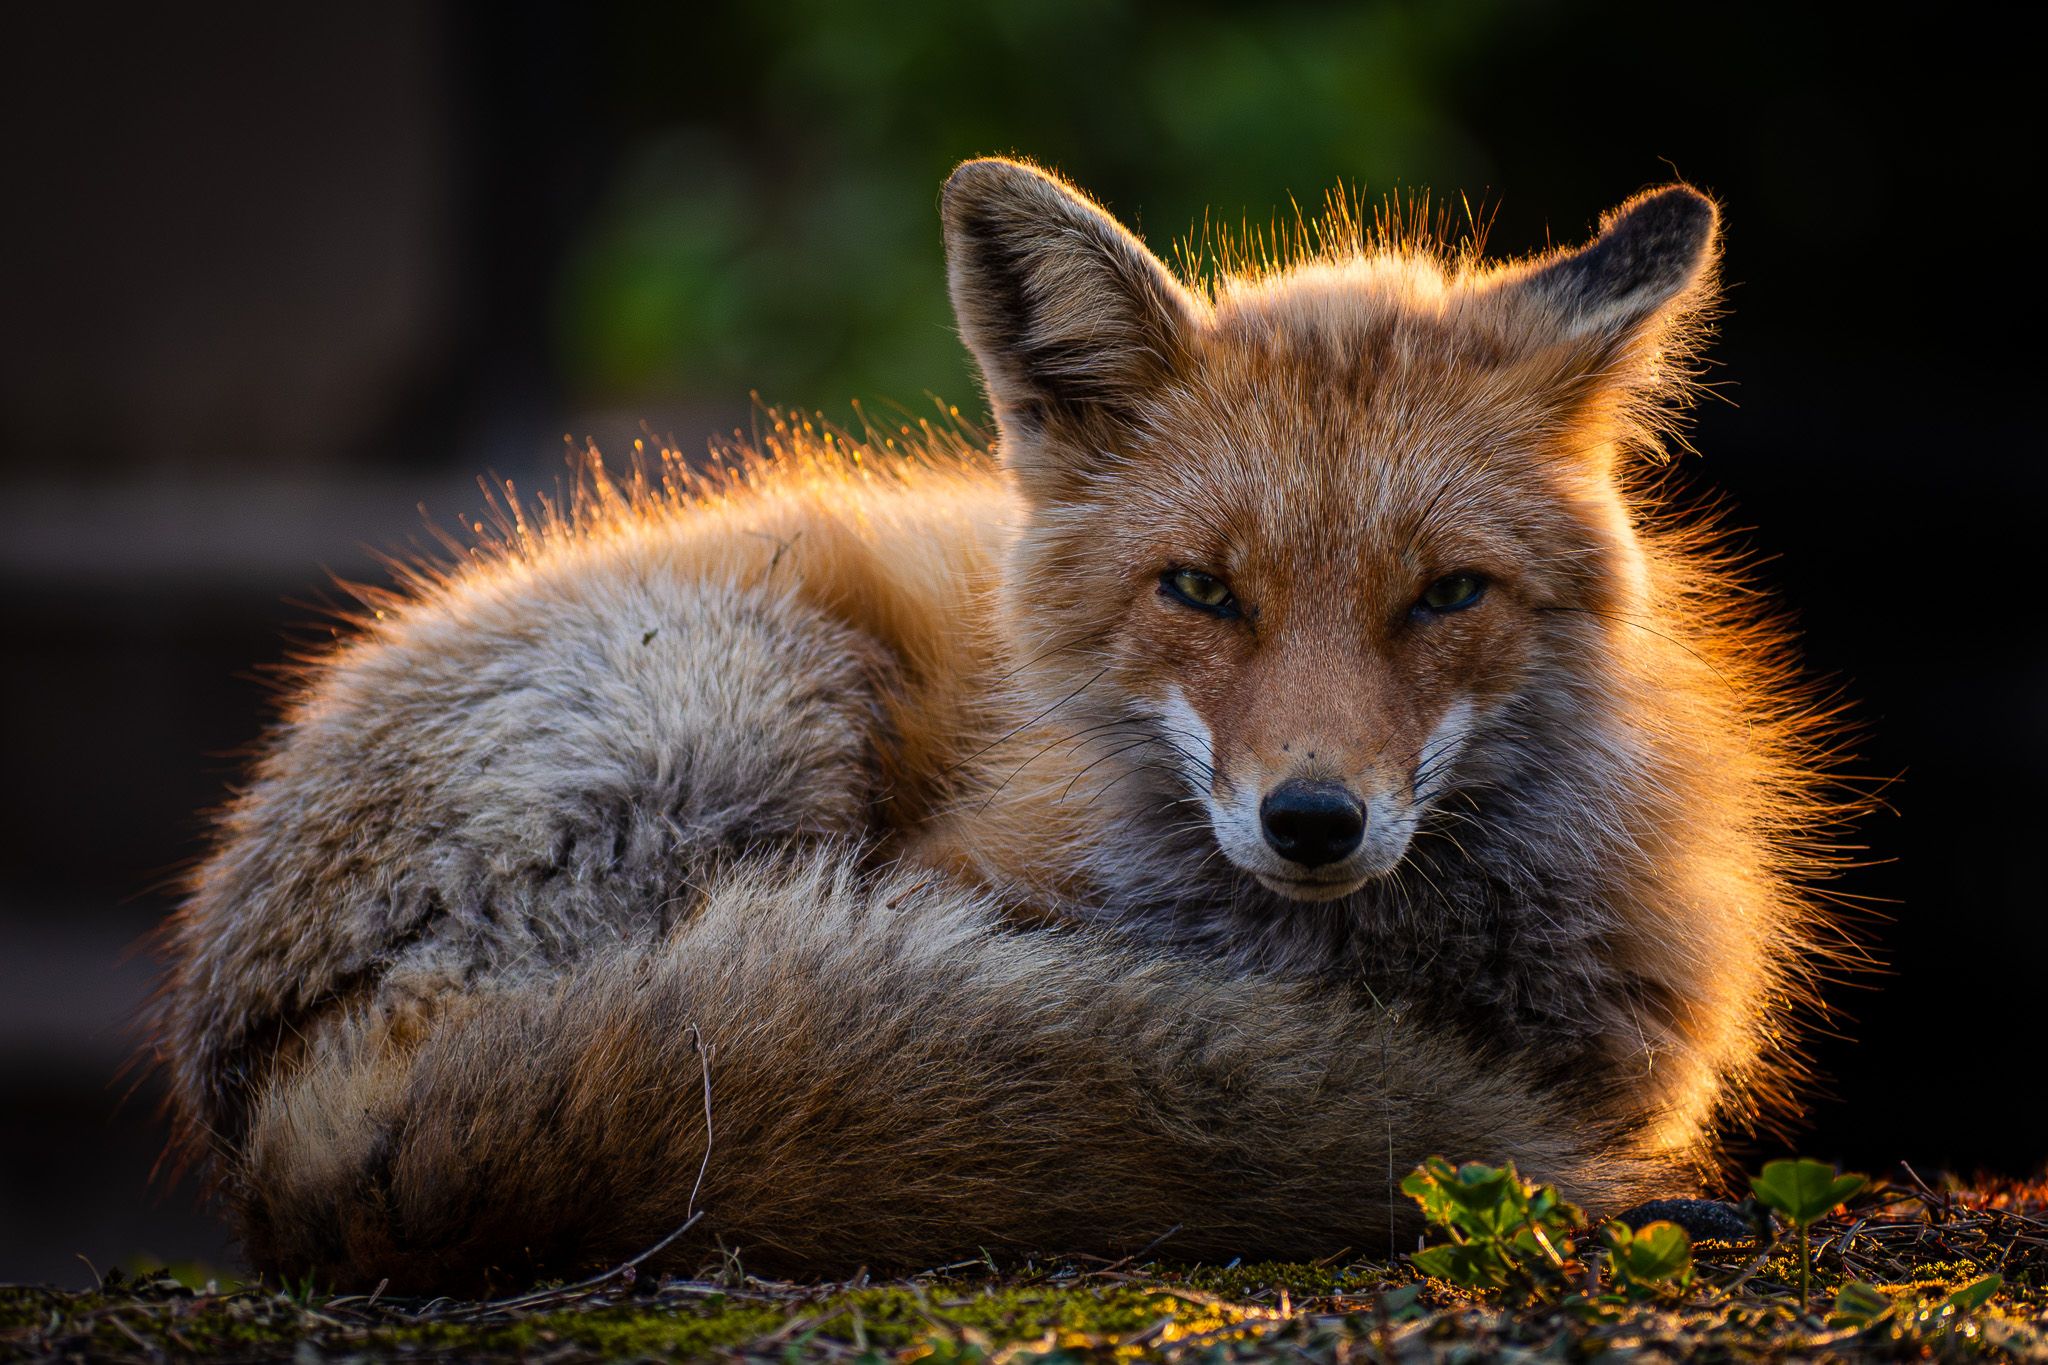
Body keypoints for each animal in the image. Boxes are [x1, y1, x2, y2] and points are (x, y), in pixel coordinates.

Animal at [154, 157, 1851, 1292]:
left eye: (1447, 595)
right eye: (1199, 590)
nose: (1312, 820)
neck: (1368, 964)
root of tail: (268, 1124)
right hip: (762, 689)